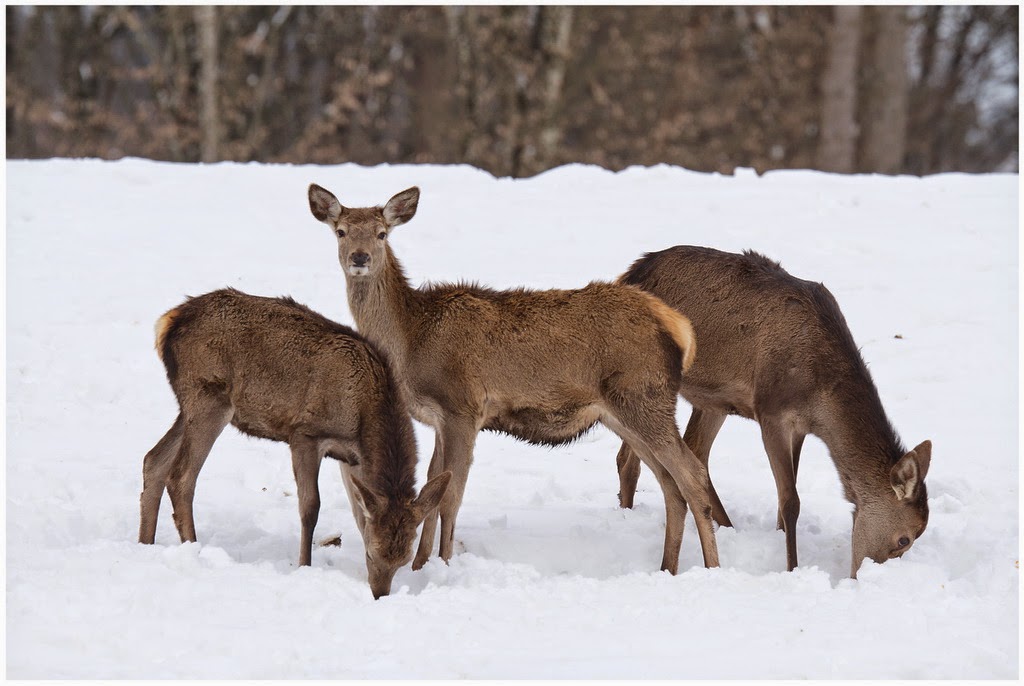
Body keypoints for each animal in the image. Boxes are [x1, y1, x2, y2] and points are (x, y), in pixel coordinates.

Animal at [138, 286, 450, 597]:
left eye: (403, 559)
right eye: (372, 554)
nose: (378, 594)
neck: (364, 415)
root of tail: (168, 321)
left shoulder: (351, 457)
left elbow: (359, 515)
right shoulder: (305, 434)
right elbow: (310, 507)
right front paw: (304, 566)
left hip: (190, 406)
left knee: (153, 460)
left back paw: (145, 544)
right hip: (210, 397)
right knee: (181, 476)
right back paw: (193, 548)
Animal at [305, 182, 720, 573]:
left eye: (382, 233)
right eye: (341, 231)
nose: (360, 258)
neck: (410, 338)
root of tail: (679, 327)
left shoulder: (463, 407)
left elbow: (451, 495)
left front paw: (442, 563)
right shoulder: (439, 418)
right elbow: (431, 487)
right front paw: (422, 563)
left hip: (644, 397)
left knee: (692, 475)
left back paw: (713, 567)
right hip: (623, 413)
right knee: (670, 485)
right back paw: (667, 567)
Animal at [610, 247, 933, 581]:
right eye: (904, 539)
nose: (864, 576)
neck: (820, 398)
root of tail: (630, 273)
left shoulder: (800, 426)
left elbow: (785, 493)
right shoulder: (771, 411)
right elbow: (790, 500)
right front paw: (792, 566)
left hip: (713, 401)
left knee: (692, 449)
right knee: (633, 457)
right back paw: (629, 516)